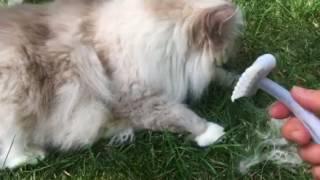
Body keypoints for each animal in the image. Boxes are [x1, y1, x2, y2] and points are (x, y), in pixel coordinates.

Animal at [0, 0, 242, 169]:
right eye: (227, 43)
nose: (230, 54)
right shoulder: (137, 98)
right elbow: (181, 115)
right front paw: (213, 132)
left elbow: (219, 76)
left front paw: (238, 81)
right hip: (17, 96)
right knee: (10, 154)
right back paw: (33, 156)